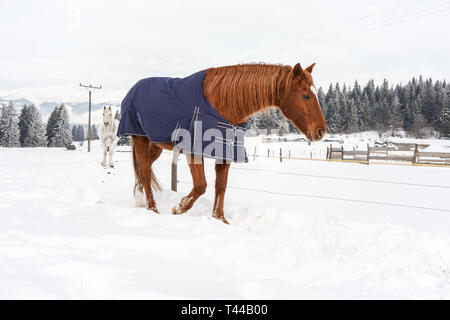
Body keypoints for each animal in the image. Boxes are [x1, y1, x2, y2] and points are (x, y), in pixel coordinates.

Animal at [129, 62, 324, 222]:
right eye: (306, 96)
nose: (321, 130)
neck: (223, 105)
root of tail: (134, 89)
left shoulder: (225, 152)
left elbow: (220, 186)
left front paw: (219, 219)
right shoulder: (194, 151)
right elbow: (201, 186)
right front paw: (179, 207)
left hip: (156, 145)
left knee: (144, 170)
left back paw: (139, 200)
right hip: (140, 139)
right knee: (145, 172)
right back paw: (152, 208)